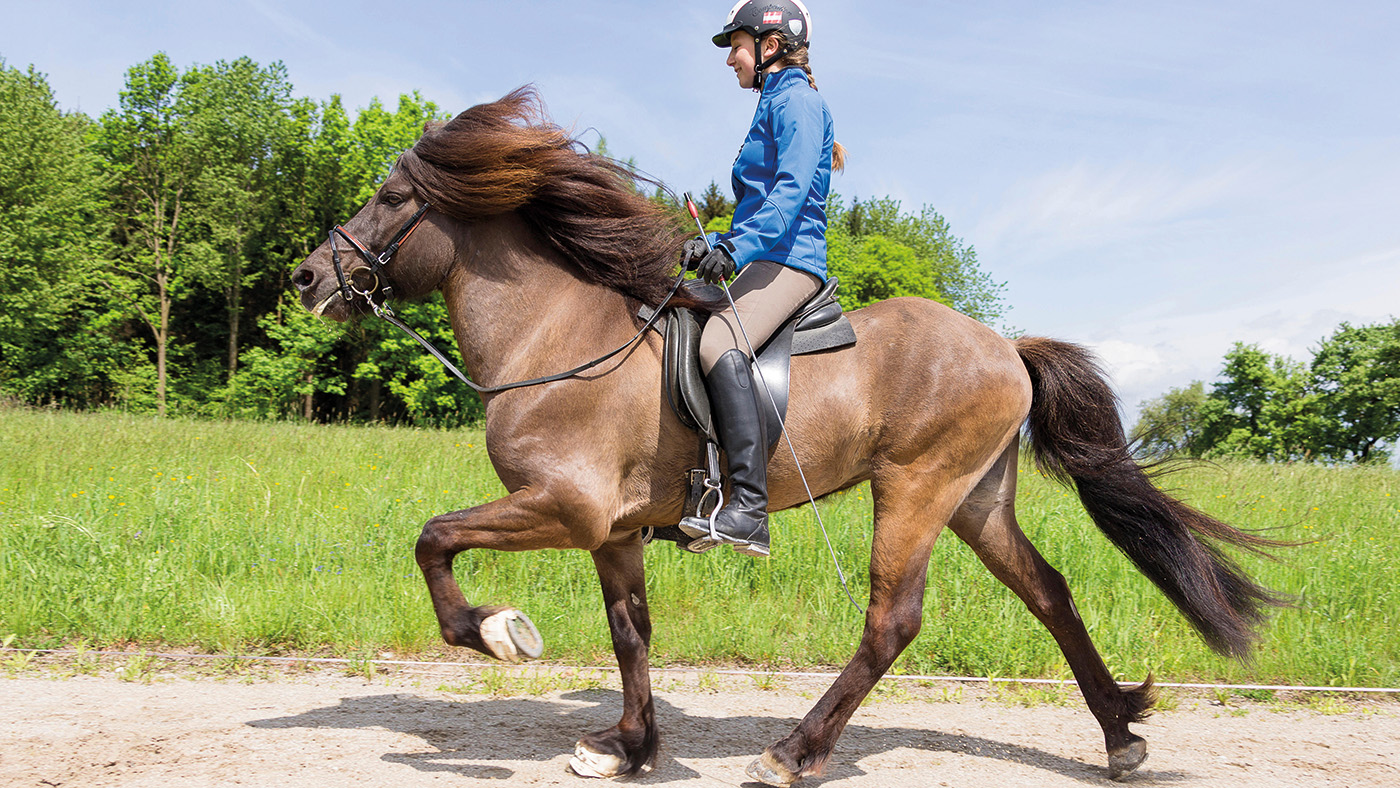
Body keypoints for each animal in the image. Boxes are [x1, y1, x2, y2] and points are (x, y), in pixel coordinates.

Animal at [289, 86, 1282, 783]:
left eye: (389, 196)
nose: (305, 278)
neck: (558, 337)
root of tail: (1005, 345)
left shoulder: (565, 507)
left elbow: (433, 538)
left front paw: (497, 631)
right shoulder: (611, 530)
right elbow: (630, 632)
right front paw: (628, 747)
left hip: (915, 489)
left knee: (893, 621)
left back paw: (794, 753)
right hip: (976, 500)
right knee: (1050, 593)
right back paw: (1119, 737)